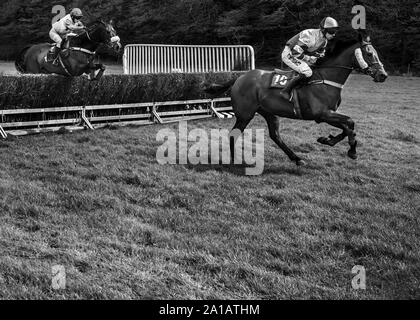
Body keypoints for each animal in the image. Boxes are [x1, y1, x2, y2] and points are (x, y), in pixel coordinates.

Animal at [203, 30, 388, 166]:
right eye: (369, 54)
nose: (383, 75)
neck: (327, 78)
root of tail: (239, 78)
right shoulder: (322, 114)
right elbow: (350, 124)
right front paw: (352, 151)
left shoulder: (327, 115)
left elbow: (349, 126)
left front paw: (328, 140)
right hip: (245, 114)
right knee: (233, 134)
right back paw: (234, 160)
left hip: (269, 113)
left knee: (275, 136)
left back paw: (297, 158)